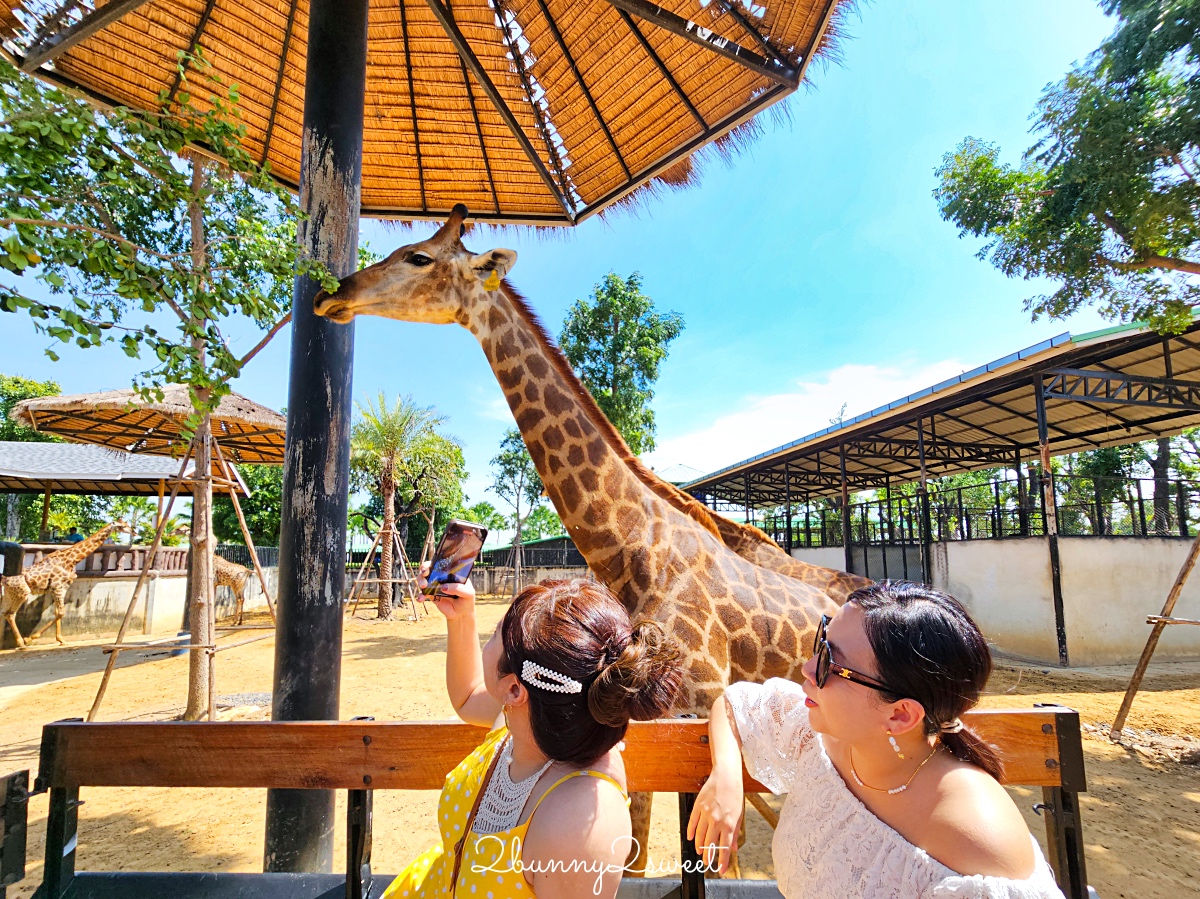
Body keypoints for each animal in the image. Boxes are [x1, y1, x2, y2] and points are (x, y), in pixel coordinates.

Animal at [309, 205, 859, 868]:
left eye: (418, 257)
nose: (331, 294)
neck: (634, 551)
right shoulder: (651, 716)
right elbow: (638, 842)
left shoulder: (699, 709)